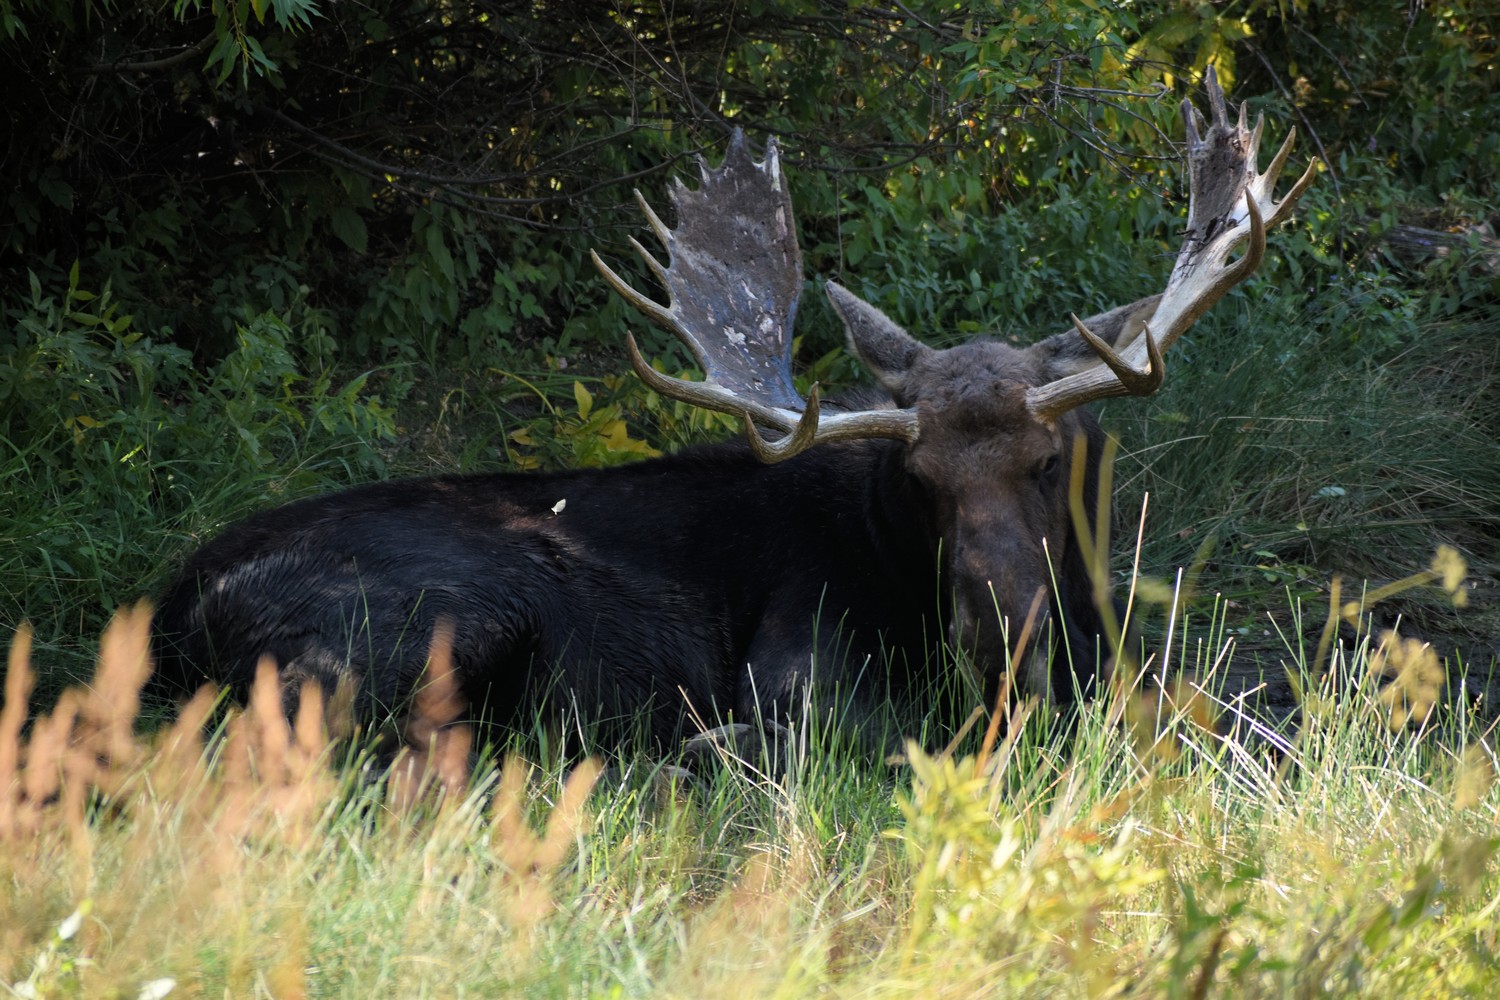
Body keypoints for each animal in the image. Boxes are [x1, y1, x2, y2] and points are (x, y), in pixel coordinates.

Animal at [149, 70, 1314, 755]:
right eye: (922, 484)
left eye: (1046, 457)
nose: (998, 621)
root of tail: (168, 615)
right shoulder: (795, 665)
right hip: (428, 622)